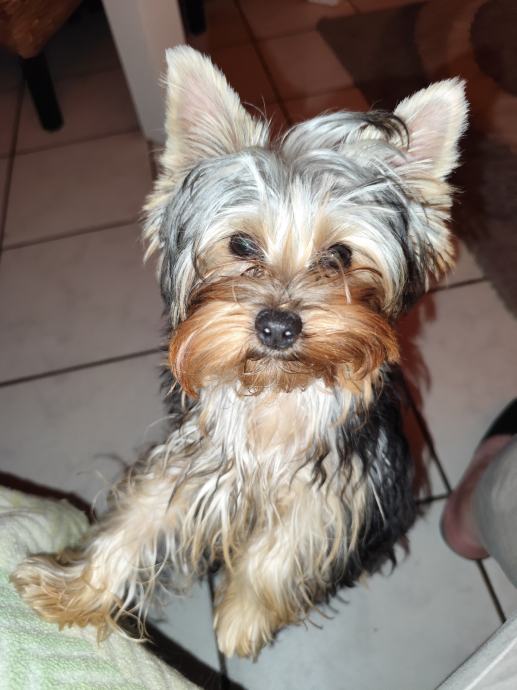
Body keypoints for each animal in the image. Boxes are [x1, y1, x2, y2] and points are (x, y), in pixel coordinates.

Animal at [13, 46, 468, 659]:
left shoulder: (336, 484)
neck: (274, 393)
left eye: (340, 255)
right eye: (241, 244)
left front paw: (240, 619)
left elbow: (282, 546)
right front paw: (74, 590)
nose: (278, 326)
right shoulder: (197, 454)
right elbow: (139, 515)